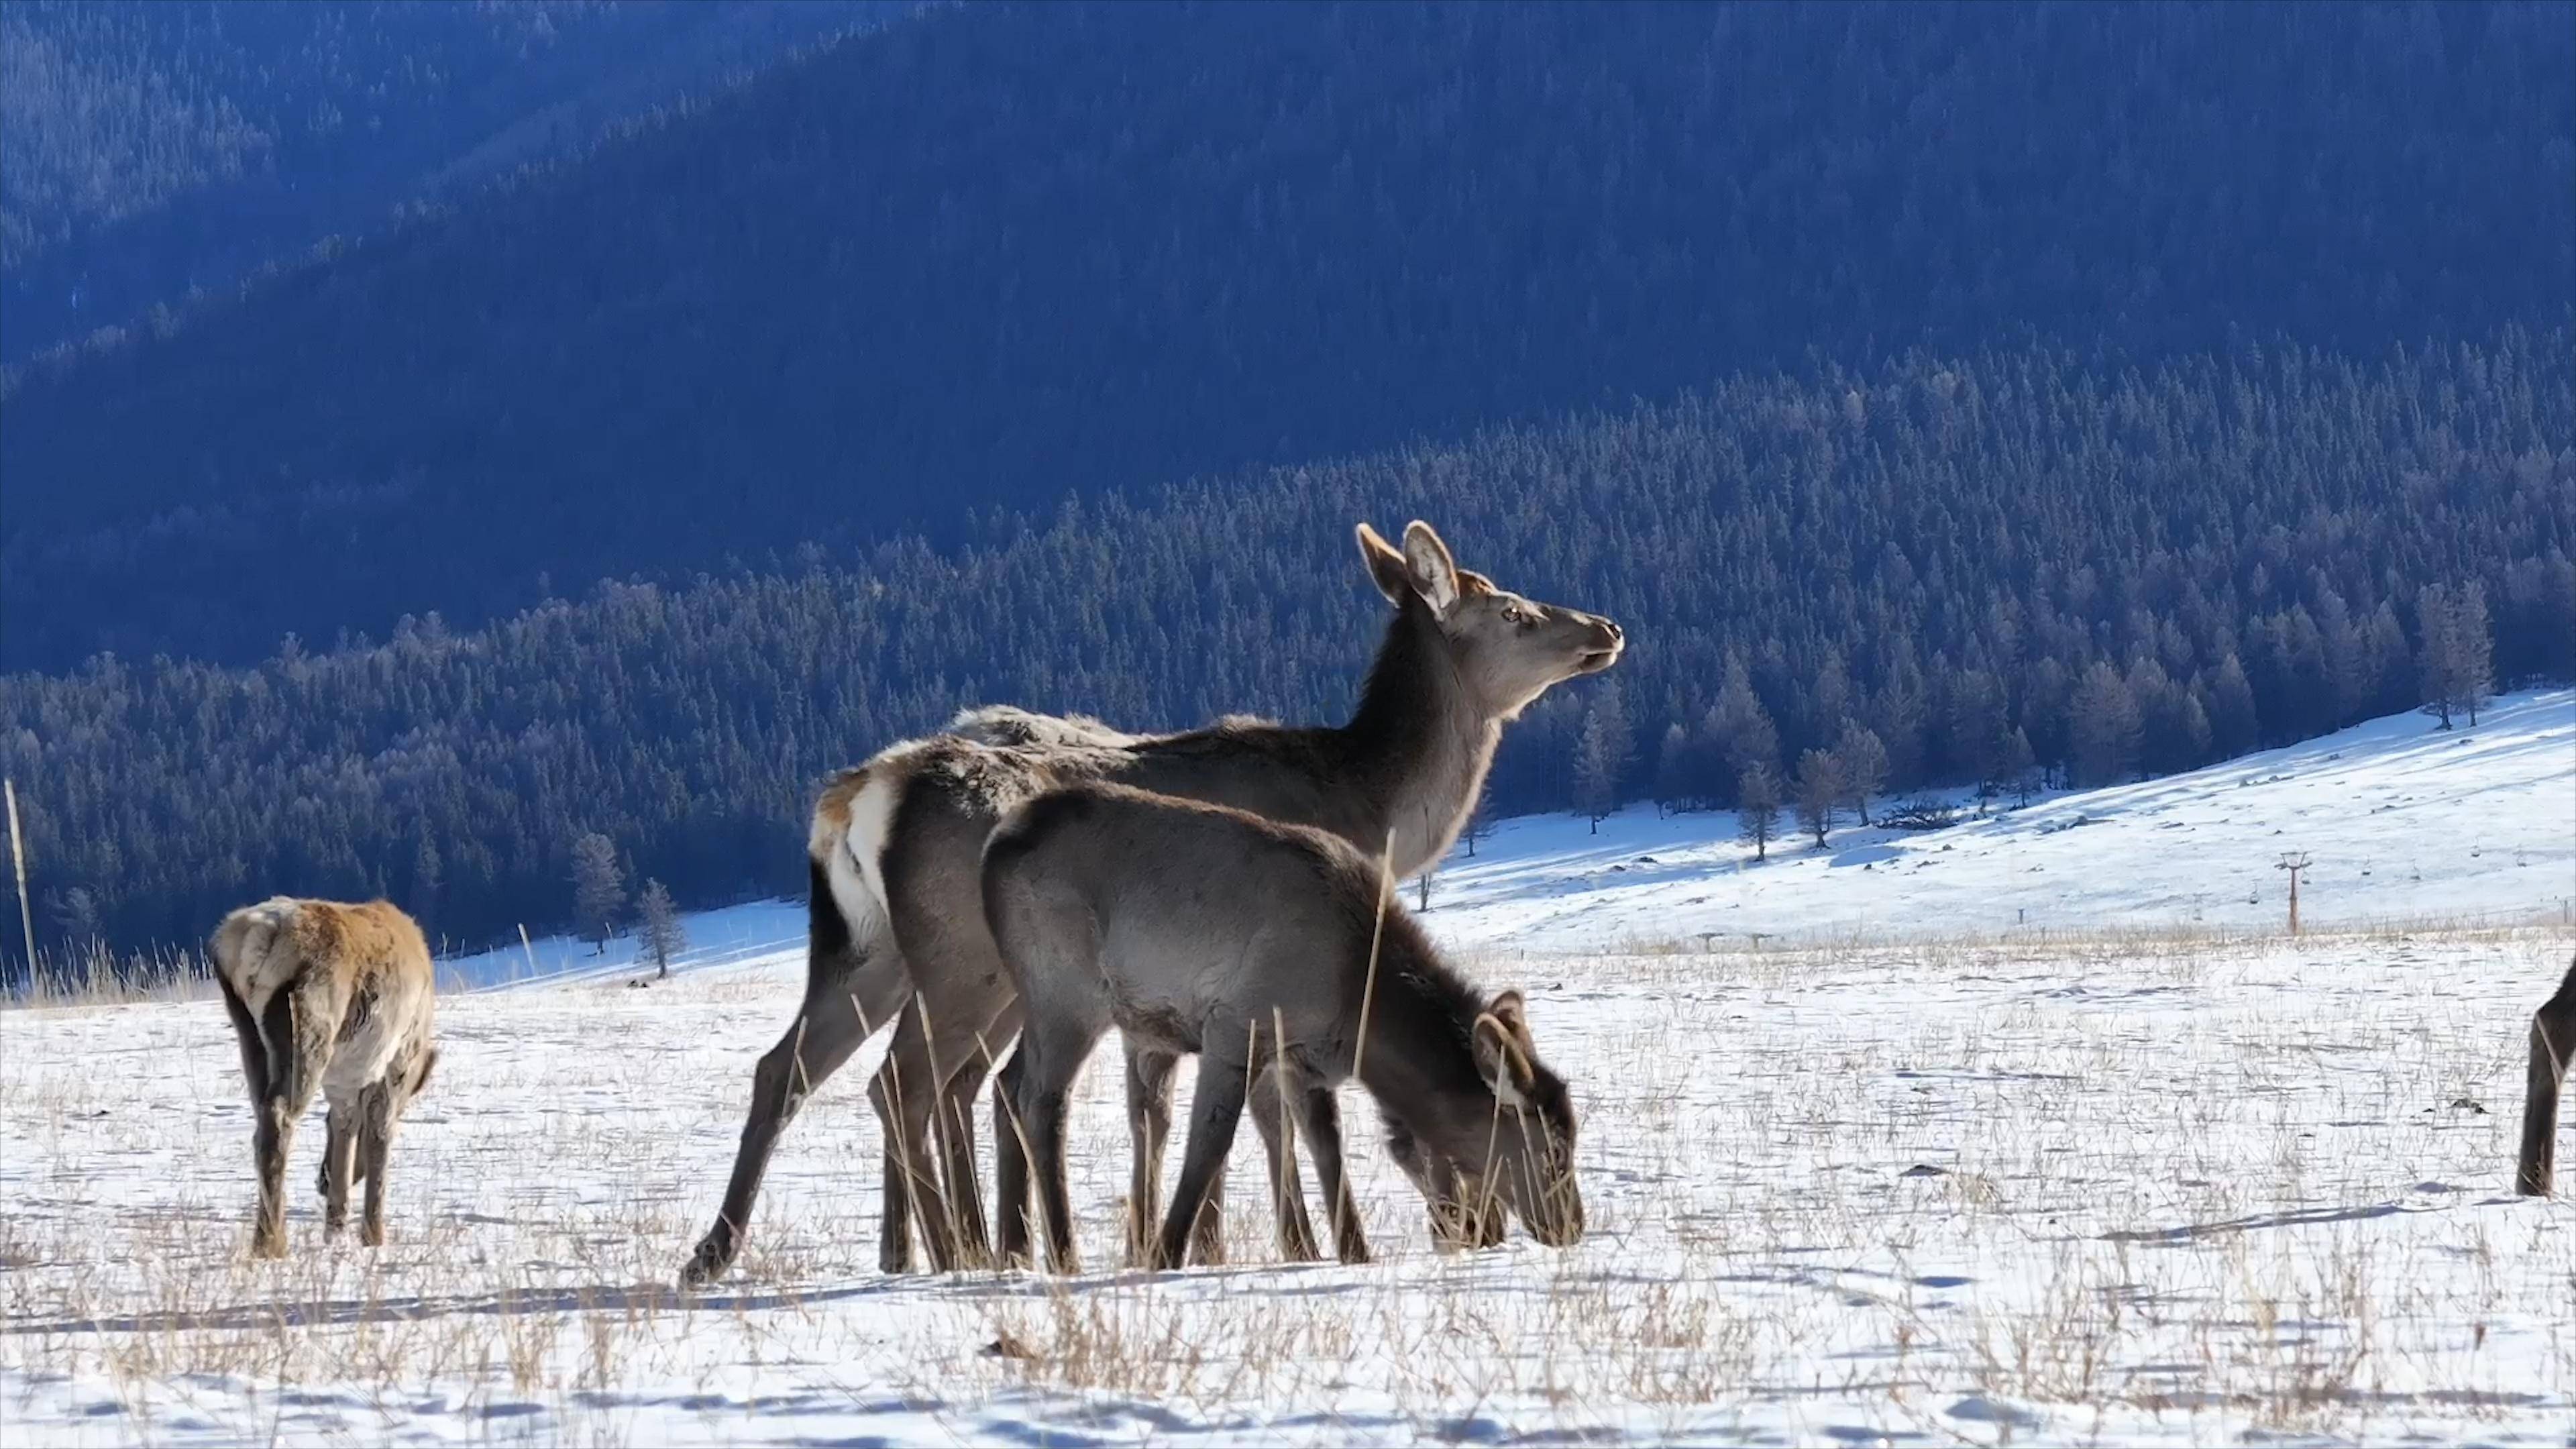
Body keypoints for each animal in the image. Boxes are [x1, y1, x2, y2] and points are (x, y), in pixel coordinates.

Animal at [209, 892, 437, 1252]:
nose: (321, 1181)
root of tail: (255, 935)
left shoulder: (343, 1083)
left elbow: (345, 1127)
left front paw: (335, 1227)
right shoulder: (393, 1064)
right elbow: (380, 1136)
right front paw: (374, 1236)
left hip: (249, 1033)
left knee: (261, 1117)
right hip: (307, 1027)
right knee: (279, 1119)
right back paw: (272, 1243)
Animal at [675, 521, 1617, 1284]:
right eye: (1514, 612)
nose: (1606, 629)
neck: (1372, 807)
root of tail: (859, 794)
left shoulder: (1166, 1007)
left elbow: (1155, 1113)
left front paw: (1162, 1239)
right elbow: (1267, 1115)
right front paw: (1269, 1244)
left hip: (869, 953)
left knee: (794, 1069)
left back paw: (736, 1251)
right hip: (965, 962)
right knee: (915, 1083)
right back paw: (957, 1249)